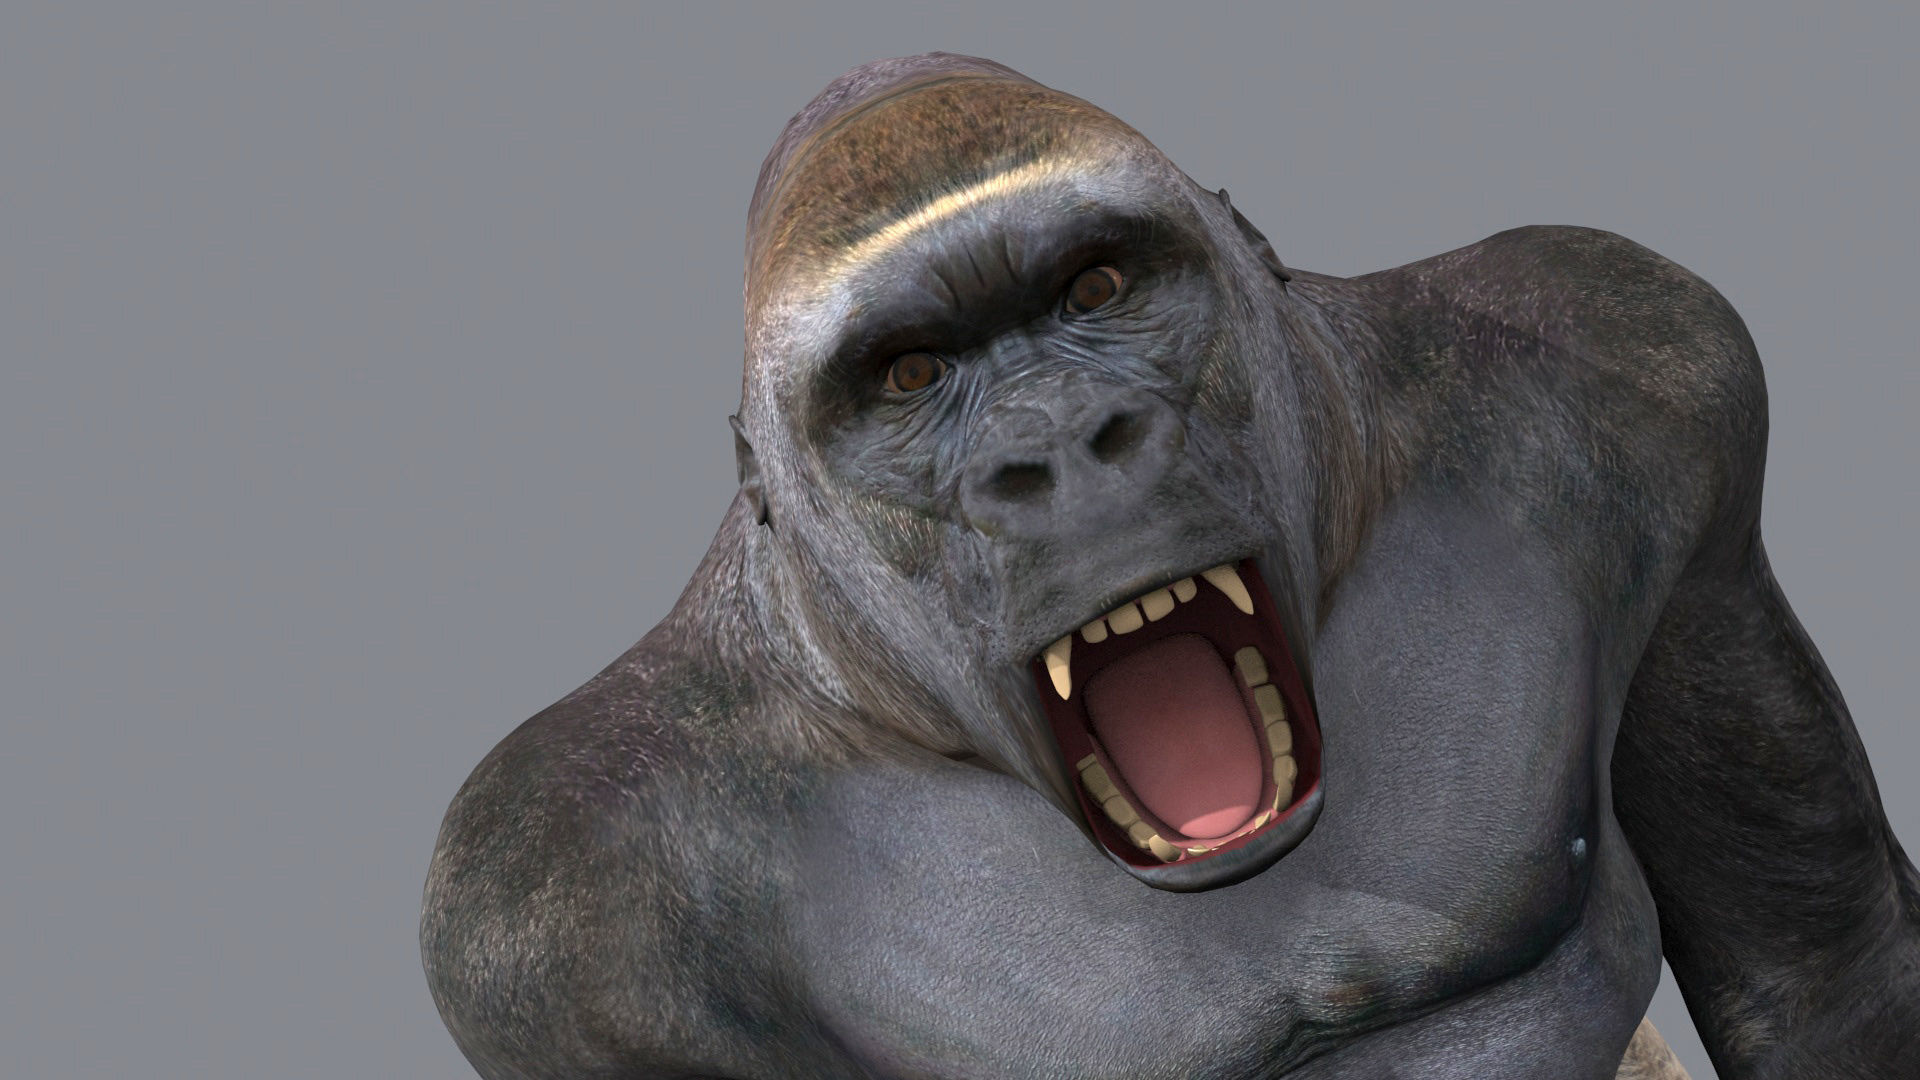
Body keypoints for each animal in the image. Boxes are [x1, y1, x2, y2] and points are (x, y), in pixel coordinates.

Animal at [421, 54, 1916, 1079]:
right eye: (908, 375)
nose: (1061, 444)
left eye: (1096, 289)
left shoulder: (1641, 368)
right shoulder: (552, 907)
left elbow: (1815, 972)